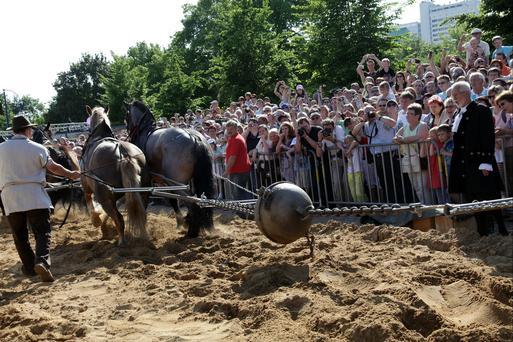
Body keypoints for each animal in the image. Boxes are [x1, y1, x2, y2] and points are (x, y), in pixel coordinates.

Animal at [80, 105, 148, 244]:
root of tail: (123, 153)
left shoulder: (86, 187)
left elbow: (91, 206)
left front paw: (97, 220)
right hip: (143, 191)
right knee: (141, 213)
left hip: (103, 196)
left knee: (119, 218)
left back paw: (121, 241)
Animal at [126, 100, 214, 236]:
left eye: (127, 115)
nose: (128, 131)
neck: (144, 130)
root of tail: (194, 138)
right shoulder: (163, 180)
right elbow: (171, 200)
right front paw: (181, 221)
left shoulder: (151, 181)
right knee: (196, 198)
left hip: (176, 182)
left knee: (191, 200)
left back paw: (192, 232)